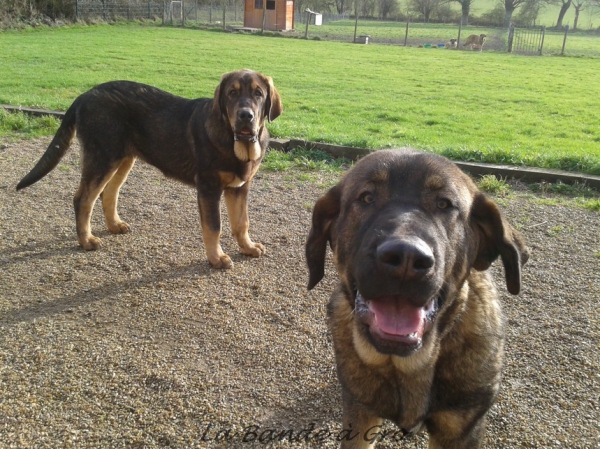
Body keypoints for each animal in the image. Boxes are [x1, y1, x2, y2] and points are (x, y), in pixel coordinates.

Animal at [15, 68, 284, 268]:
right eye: (231, 93)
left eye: (258, 93)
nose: (246, 116)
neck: (235, 141)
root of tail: (84, 95)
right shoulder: (208, 187)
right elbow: (214, 226)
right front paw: (217, 258)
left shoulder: (240, 187)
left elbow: (241, 222)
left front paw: (247, 247)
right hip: (102, 157)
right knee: (83, 199)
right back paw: (86, 241)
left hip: (123, 159)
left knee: (109, 192)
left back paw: (114, 225)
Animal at [308, 150, 528, 448]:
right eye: (367, 198)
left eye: (444, 204)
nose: (406, 258)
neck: (407, 365)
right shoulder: (360, 414)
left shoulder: (460, 428)